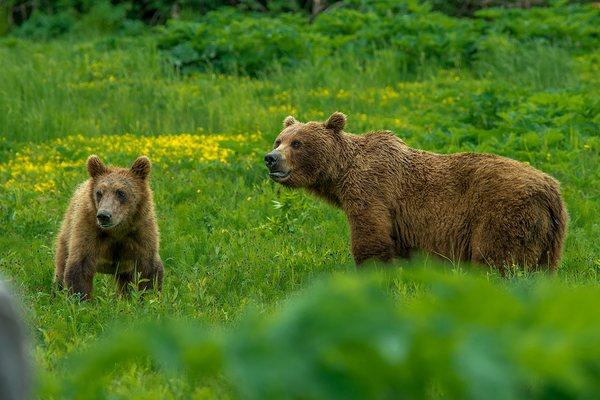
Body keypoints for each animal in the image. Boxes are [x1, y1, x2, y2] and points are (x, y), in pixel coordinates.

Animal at [54, 155, 164, 298]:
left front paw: (149, 297)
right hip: (67, 232)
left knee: (126, 282)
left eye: (121, 192)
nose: (104, 215)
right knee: (61, 264)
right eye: (99, 192)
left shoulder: (140, 233)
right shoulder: (89, 231)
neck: (117, 230)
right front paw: (80, 298)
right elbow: (80, 268)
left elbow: (149, 269)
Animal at [264, 112, 568, 272]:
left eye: (298, 143)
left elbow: (371, 238)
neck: (341, 174)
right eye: (279, 140)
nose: (270, 158)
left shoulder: (371, 190)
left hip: (501, 215)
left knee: (497, 262)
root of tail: (550, 190)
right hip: (549, 238)